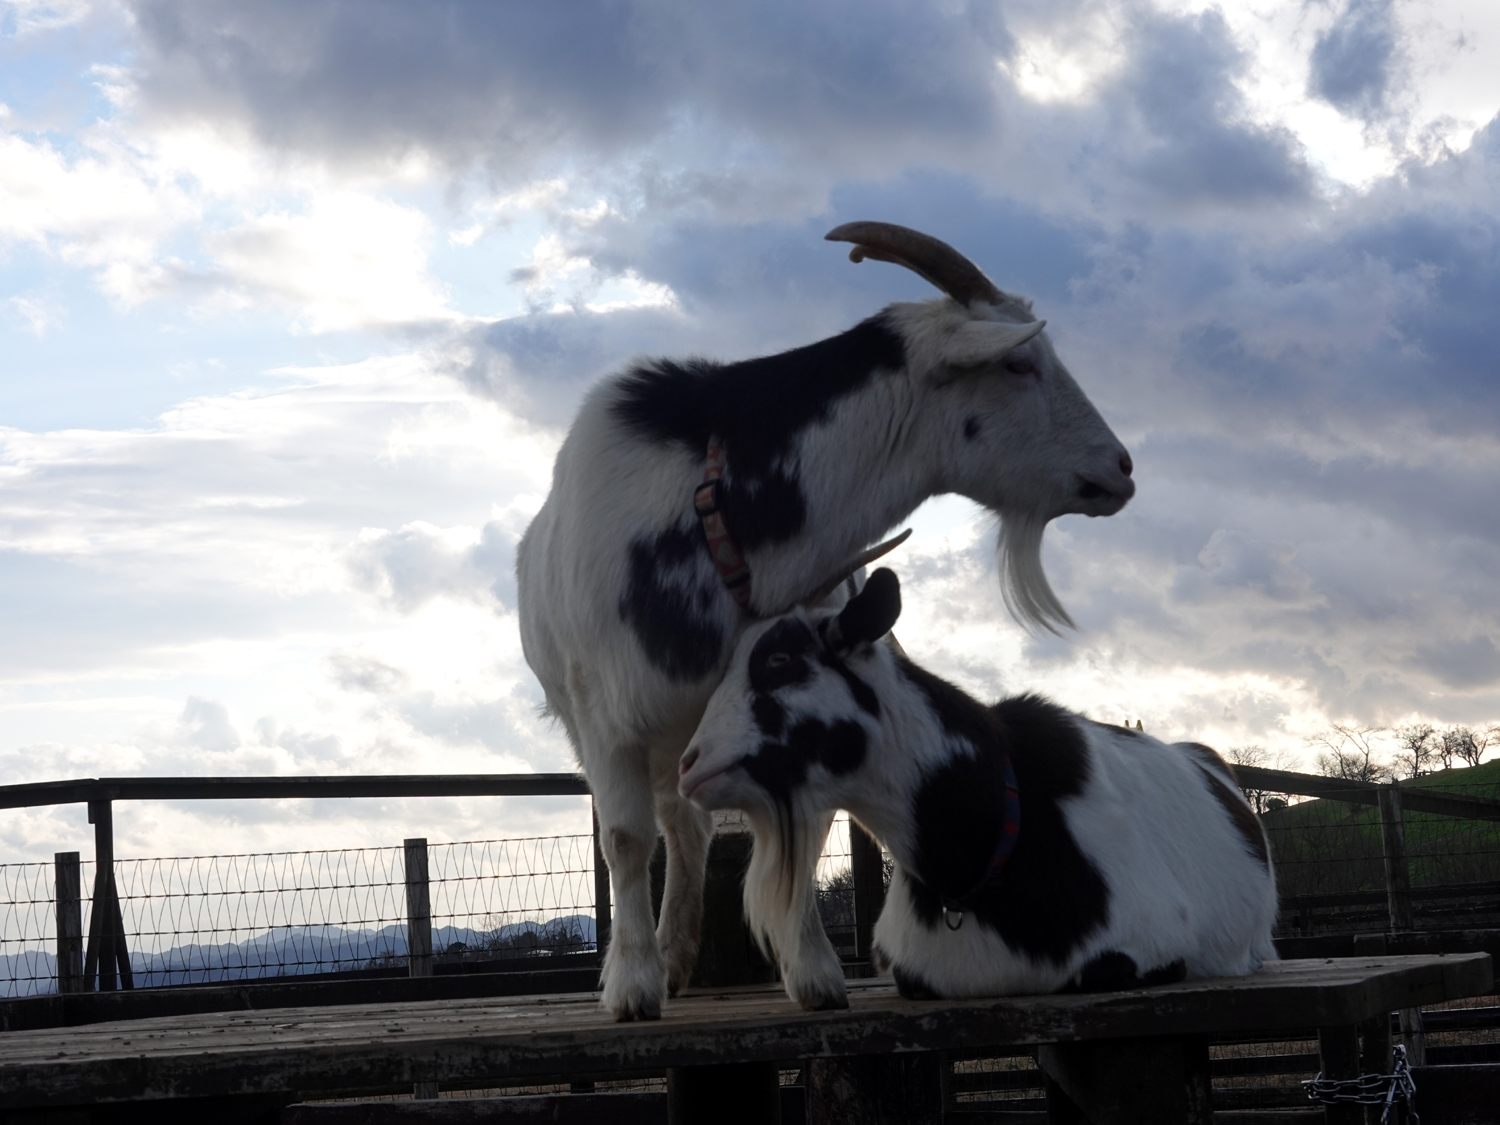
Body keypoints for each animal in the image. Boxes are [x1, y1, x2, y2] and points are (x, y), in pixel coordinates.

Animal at [516, 220, 1134, 1020]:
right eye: (1020, 362)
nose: (1120, 469)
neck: (720, 514)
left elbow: (802, 837)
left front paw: (812, 972)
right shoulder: (604, 715)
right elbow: (623, 839)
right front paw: (629, 987)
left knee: (691, 829)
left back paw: (682, 955)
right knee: (675, 827)